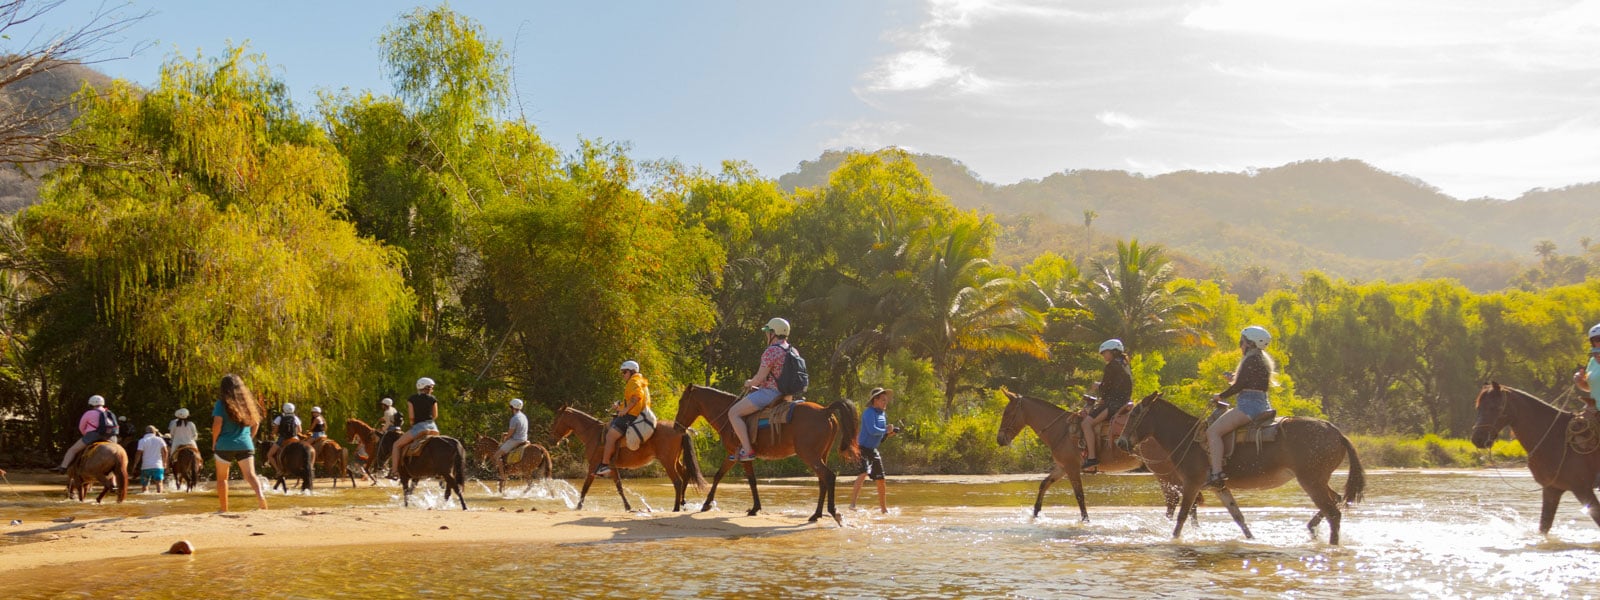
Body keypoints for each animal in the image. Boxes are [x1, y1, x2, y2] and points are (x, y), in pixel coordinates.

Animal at [544, 409, 707, 512]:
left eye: (556, 420)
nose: (551, 440)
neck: (594, 434)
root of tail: (681, 429)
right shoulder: (612, 467)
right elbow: (619, 487)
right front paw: (628, 506)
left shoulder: (593, 466)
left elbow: (585, 487)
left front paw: (578, 506)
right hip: (675, 460)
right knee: (685, 476)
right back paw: (683, 504)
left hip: (667, 462)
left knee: (678, 481)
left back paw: (676, 508)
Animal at [672, 387, 864, 524]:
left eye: (681, 402)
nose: (676, 427)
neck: (728, 415)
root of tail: (825, 410)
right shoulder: (733, 455)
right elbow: (722, 475)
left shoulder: (740, 454)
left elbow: (748, 480)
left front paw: (710, 504)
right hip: (820, 455)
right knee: (822, 480)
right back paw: (816, 514)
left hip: (809, 455)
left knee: (829, 477)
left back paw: (833, 512)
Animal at [998, 390, 1203, 521]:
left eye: (1007, 413)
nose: (1000, 439)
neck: (1061, 430)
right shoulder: (1062, 467)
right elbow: (1044, 484)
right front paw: (1035, 513)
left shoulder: (1072, 468)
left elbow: (1079, 495)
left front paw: (1085, 520)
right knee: (1187, 497)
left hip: (1161, 469)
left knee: (1174, 497)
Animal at [1113, 392, 1363, 547]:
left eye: (1133, 414)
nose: (1121, 443)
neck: (1188, 437)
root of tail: (1337, 433)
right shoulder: (1219, 487)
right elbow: (1238, 517)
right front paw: (1251, 539)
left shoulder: (1192, 484)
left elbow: (1182, 516)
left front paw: (1174, 540)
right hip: (1318, 480)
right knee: (1336, 500)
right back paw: (1312, 528)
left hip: (1310, 480)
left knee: (1333, 513)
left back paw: (1331, 544)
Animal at [1465, 382, 1600, 534]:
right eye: (1478, 407)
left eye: (1494, 407)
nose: (1478, 439)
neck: (1556, 439)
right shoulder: (1551, 490)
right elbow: (1544, 526)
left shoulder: (1583, 489)